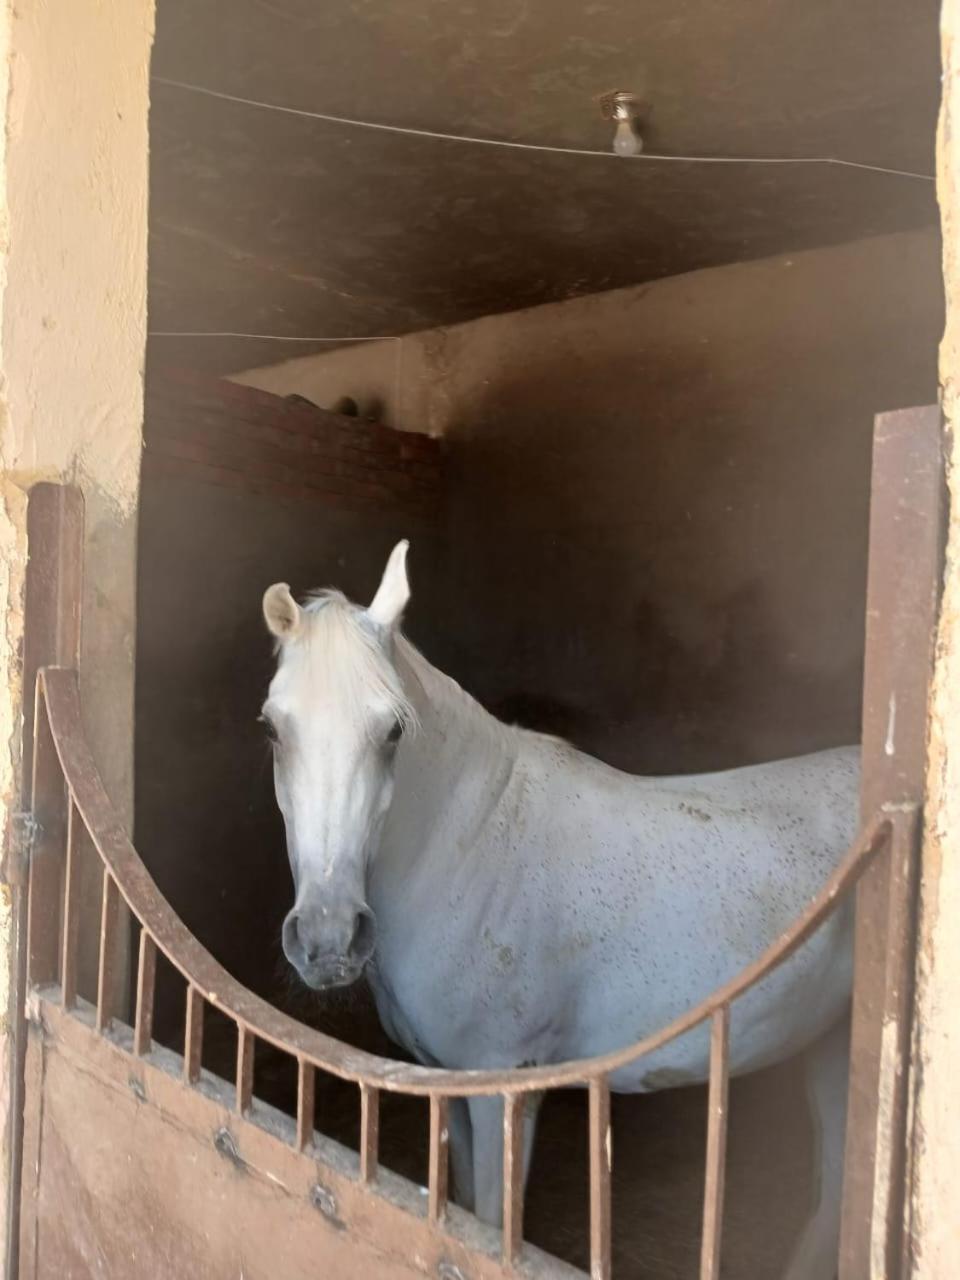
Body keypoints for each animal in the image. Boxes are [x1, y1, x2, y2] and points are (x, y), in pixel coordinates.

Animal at [260, 541, 858, 1279]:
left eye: (393, 729)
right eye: (273, 728)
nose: (329, 937)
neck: (472, 848)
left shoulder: (504, 1089)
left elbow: (491, 1224)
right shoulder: (449, 1085)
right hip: (831, 1041)